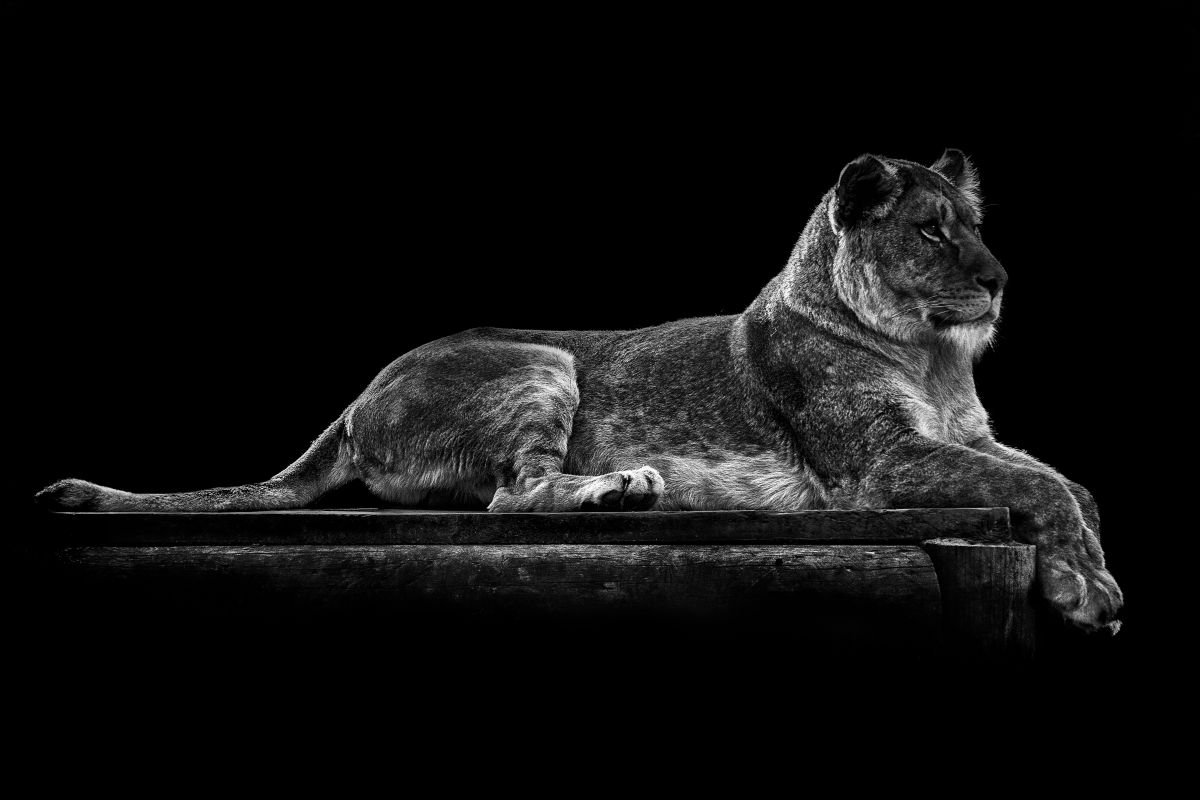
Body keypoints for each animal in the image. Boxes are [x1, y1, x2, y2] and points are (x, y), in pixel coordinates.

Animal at [36, 149, 1123, 631]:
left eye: (973, 225)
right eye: (932, 232)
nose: (1000, 281)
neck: (932, 356)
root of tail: (354, 400)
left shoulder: (967, 439)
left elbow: (1072, 486)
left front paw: (1088, 571)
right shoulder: (879, 463)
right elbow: (1043, 488)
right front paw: (1089, 592)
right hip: (541, 360)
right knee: (511, 495)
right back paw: (623, 489)